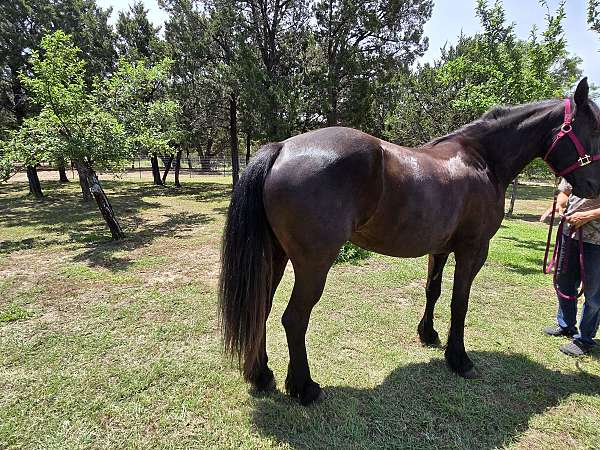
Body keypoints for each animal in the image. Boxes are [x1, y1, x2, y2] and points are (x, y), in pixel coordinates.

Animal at [218, 79, 600, 406]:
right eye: (595, 130)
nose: (593, 188)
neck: (481, 159)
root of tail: (282, 148)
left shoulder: (440, 249)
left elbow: (433, 291)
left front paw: (428, 335)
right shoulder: (473, 250)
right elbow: (459, 303)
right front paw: (459, 359)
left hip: (276, 255)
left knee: (262, 307)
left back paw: (261, 375)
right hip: (313, 264)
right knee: (294, 318)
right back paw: (305, 388)